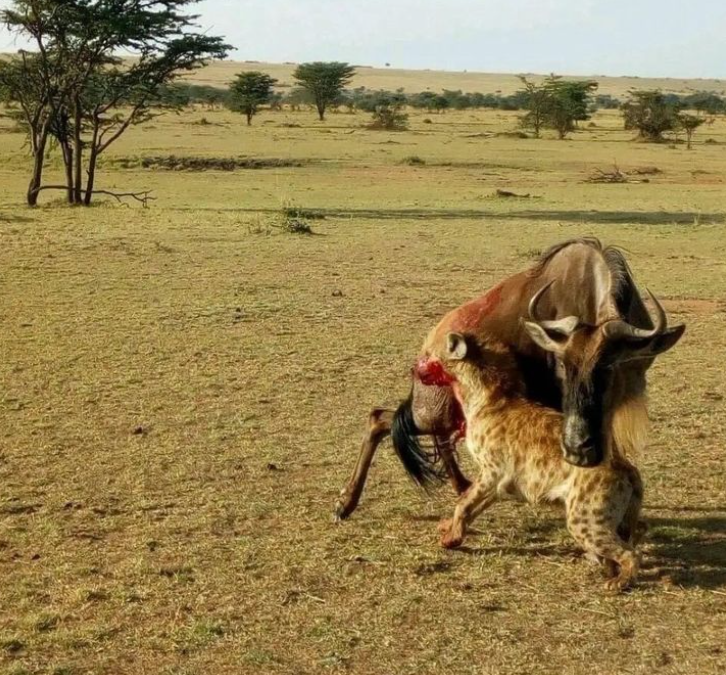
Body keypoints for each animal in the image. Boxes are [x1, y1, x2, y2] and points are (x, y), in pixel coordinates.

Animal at [424, 332, 644, 592]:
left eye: (430, 352)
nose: (415, 367)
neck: (483, 399)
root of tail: (628, 468)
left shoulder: (491, 471)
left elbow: (464, 502)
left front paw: (450, 537)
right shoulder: (497, 483)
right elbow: (472, 506)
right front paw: (452, 531)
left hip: (584, 518)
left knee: (629, 552)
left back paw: (618, 582)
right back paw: (607, 570)